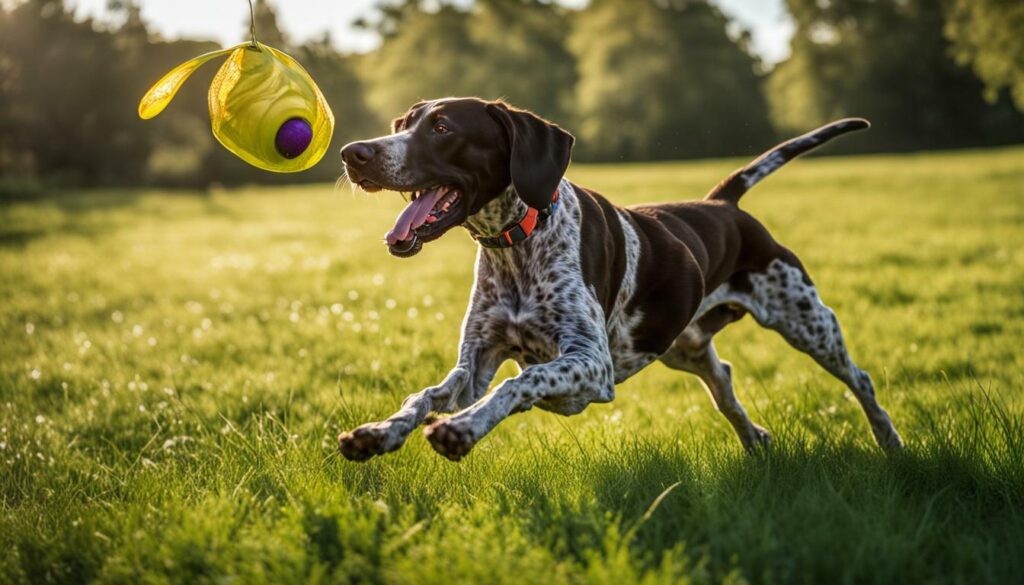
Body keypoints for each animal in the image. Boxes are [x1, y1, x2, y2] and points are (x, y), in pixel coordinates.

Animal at [337, 99, 905, 463]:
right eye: (401, 122)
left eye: (442, 128)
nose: (354, 153)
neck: (519, 244)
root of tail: (723, 203)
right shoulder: (473, 365)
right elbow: (426, 395)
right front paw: (379, 432)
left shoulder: (591, 368)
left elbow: (518, 383)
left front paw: (462, 429)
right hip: (685, 347)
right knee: (724, 383)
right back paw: (755, 442)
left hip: (808, 322)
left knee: (861, 380)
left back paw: (891, 443)